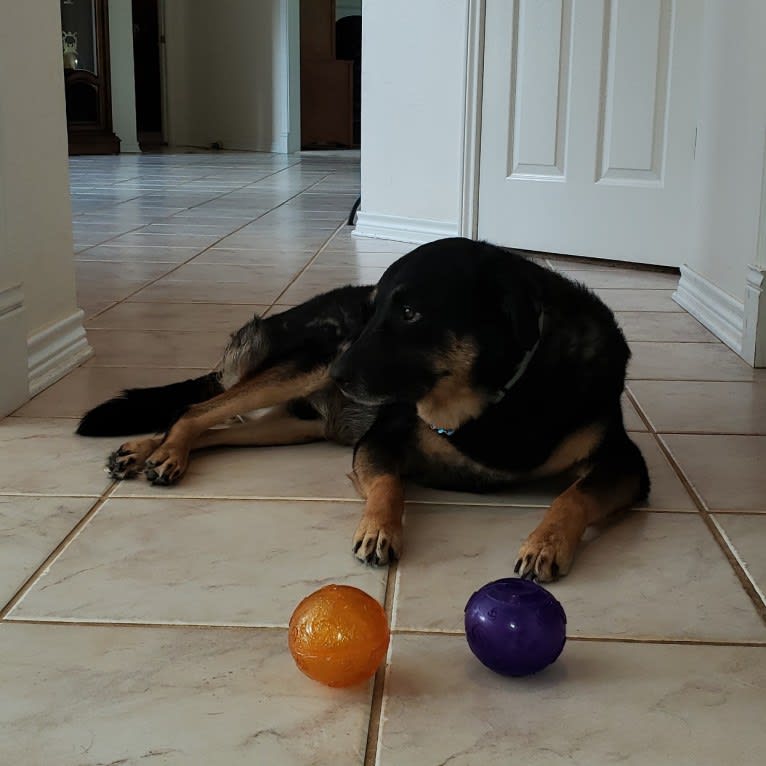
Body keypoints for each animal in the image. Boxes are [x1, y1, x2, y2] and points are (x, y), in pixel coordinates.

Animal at [78, 238, 652, 584]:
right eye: (374, 311)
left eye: (411, 313)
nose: (339, 375)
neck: (499, 396)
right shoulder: (379, 439)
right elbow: (390, 483)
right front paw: (380, 529)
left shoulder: (626, 465)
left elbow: (574, 497)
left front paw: (546, 543)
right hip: (304, 365)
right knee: (199, 407)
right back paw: (159, 453)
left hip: (298, 423)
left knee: (220, 425)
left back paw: (148, 451)